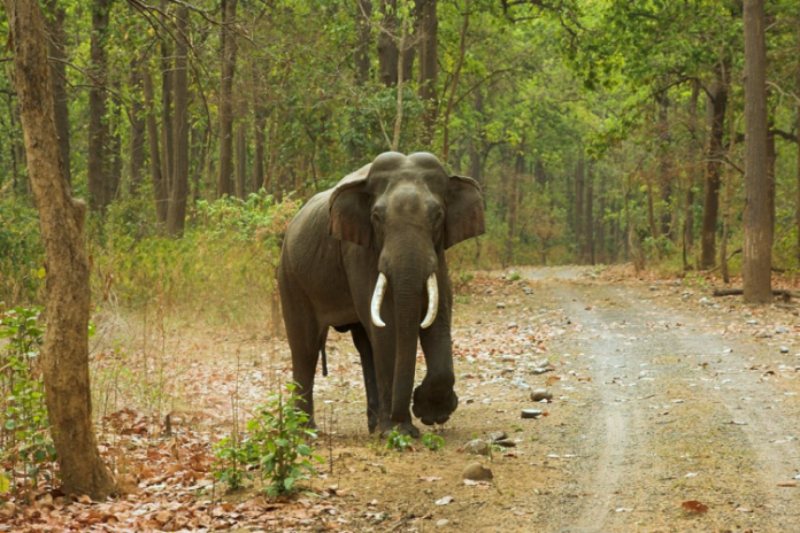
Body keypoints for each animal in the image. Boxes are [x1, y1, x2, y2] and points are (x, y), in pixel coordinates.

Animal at [278, 151, 484, 436]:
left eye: (438, 215)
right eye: (376, 217)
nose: (404, 419)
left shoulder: (438, 250)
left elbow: (439, 313)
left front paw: (430, 414)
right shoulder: (358, 249)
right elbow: (387, 325)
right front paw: (399, 432)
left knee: (364, 345)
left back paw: (373, 425)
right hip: (291, 278)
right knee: (305, 347)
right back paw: (305, 431)